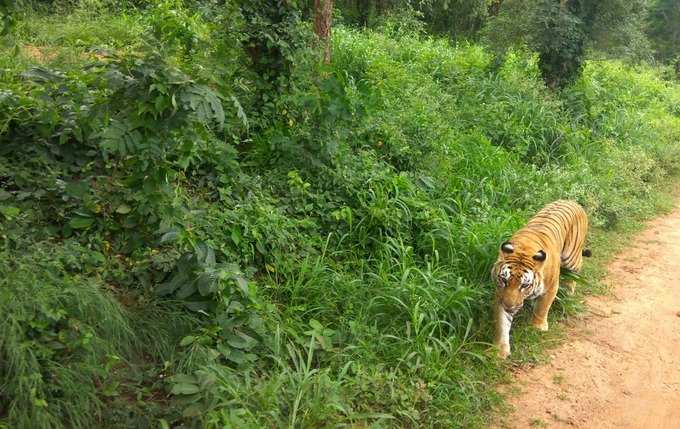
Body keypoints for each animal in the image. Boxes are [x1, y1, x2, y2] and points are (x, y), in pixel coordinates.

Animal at [488, 200, 588, 358]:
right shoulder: (500, 295)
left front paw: (538, 327)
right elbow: (502, 323)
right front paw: (499, 350)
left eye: (524, 285)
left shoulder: (551, 286)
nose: (510, 307)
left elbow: (542, 307)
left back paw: (569, 292)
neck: (524, 249)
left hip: (572, 257)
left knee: (577, 268)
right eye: (504, 281)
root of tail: (572, 201)